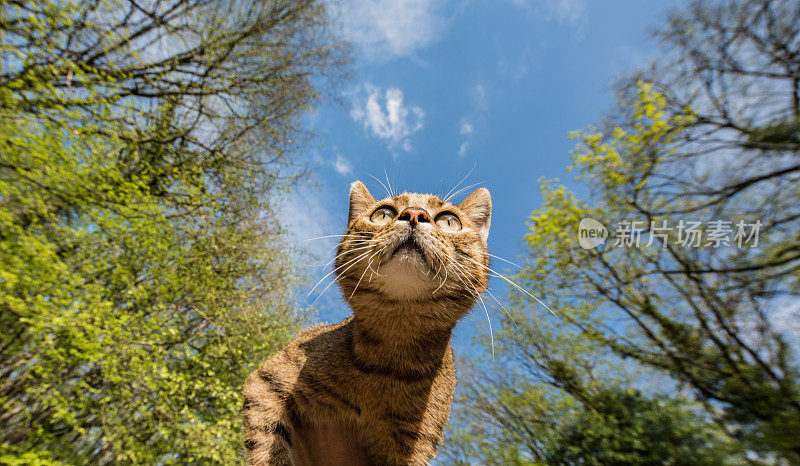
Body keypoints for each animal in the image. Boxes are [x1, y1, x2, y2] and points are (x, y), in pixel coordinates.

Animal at [241, 180, 490, 464]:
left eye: (449, 221)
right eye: (383, 214)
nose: (415, 213)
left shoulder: (414, 447)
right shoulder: (265, 384)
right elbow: (269, 449)